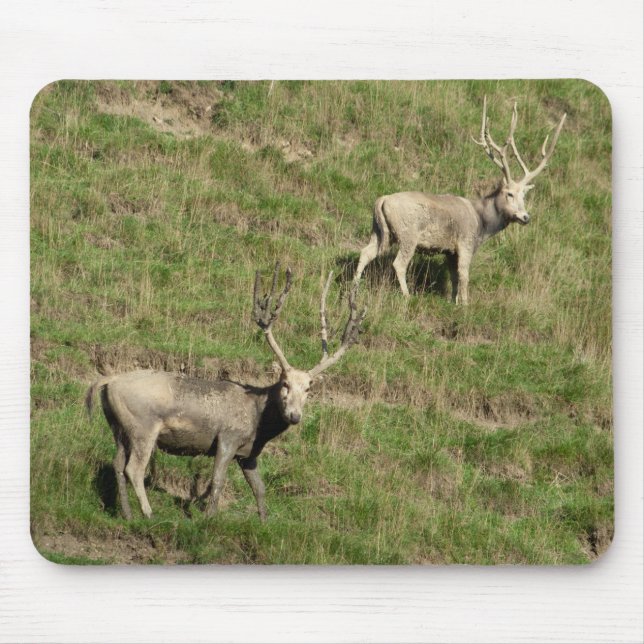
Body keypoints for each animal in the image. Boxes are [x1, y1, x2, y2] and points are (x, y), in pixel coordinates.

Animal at [85, 264, 366, 522]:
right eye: (284, 383)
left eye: (308, 388)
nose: (294, 415)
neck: (258, 424)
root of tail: (108, 381)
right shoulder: (228, 436)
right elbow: (217, 481)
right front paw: (209, 519)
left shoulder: (249, 453)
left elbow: (259, 489)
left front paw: (264, 522)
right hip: (143, 425)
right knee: (134, 468)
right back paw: (147, 513)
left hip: (118, 426)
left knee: (117, 464)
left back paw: (126, 513)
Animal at [353, 97, 567, 304]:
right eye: (509, 194)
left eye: (524, 196)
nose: (525, 217)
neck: (483, 224)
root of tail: (381, 200)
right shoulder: (466, 241)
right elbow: (464, 275)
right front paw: (464, 305)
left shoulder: (450, 251)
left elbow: (454, 277)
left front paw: (453, 301)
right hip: (408, 234)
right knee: (398, 263)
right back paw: (407, 296)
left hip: (379, 231)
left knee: (365, 252)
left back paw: (354, 287)